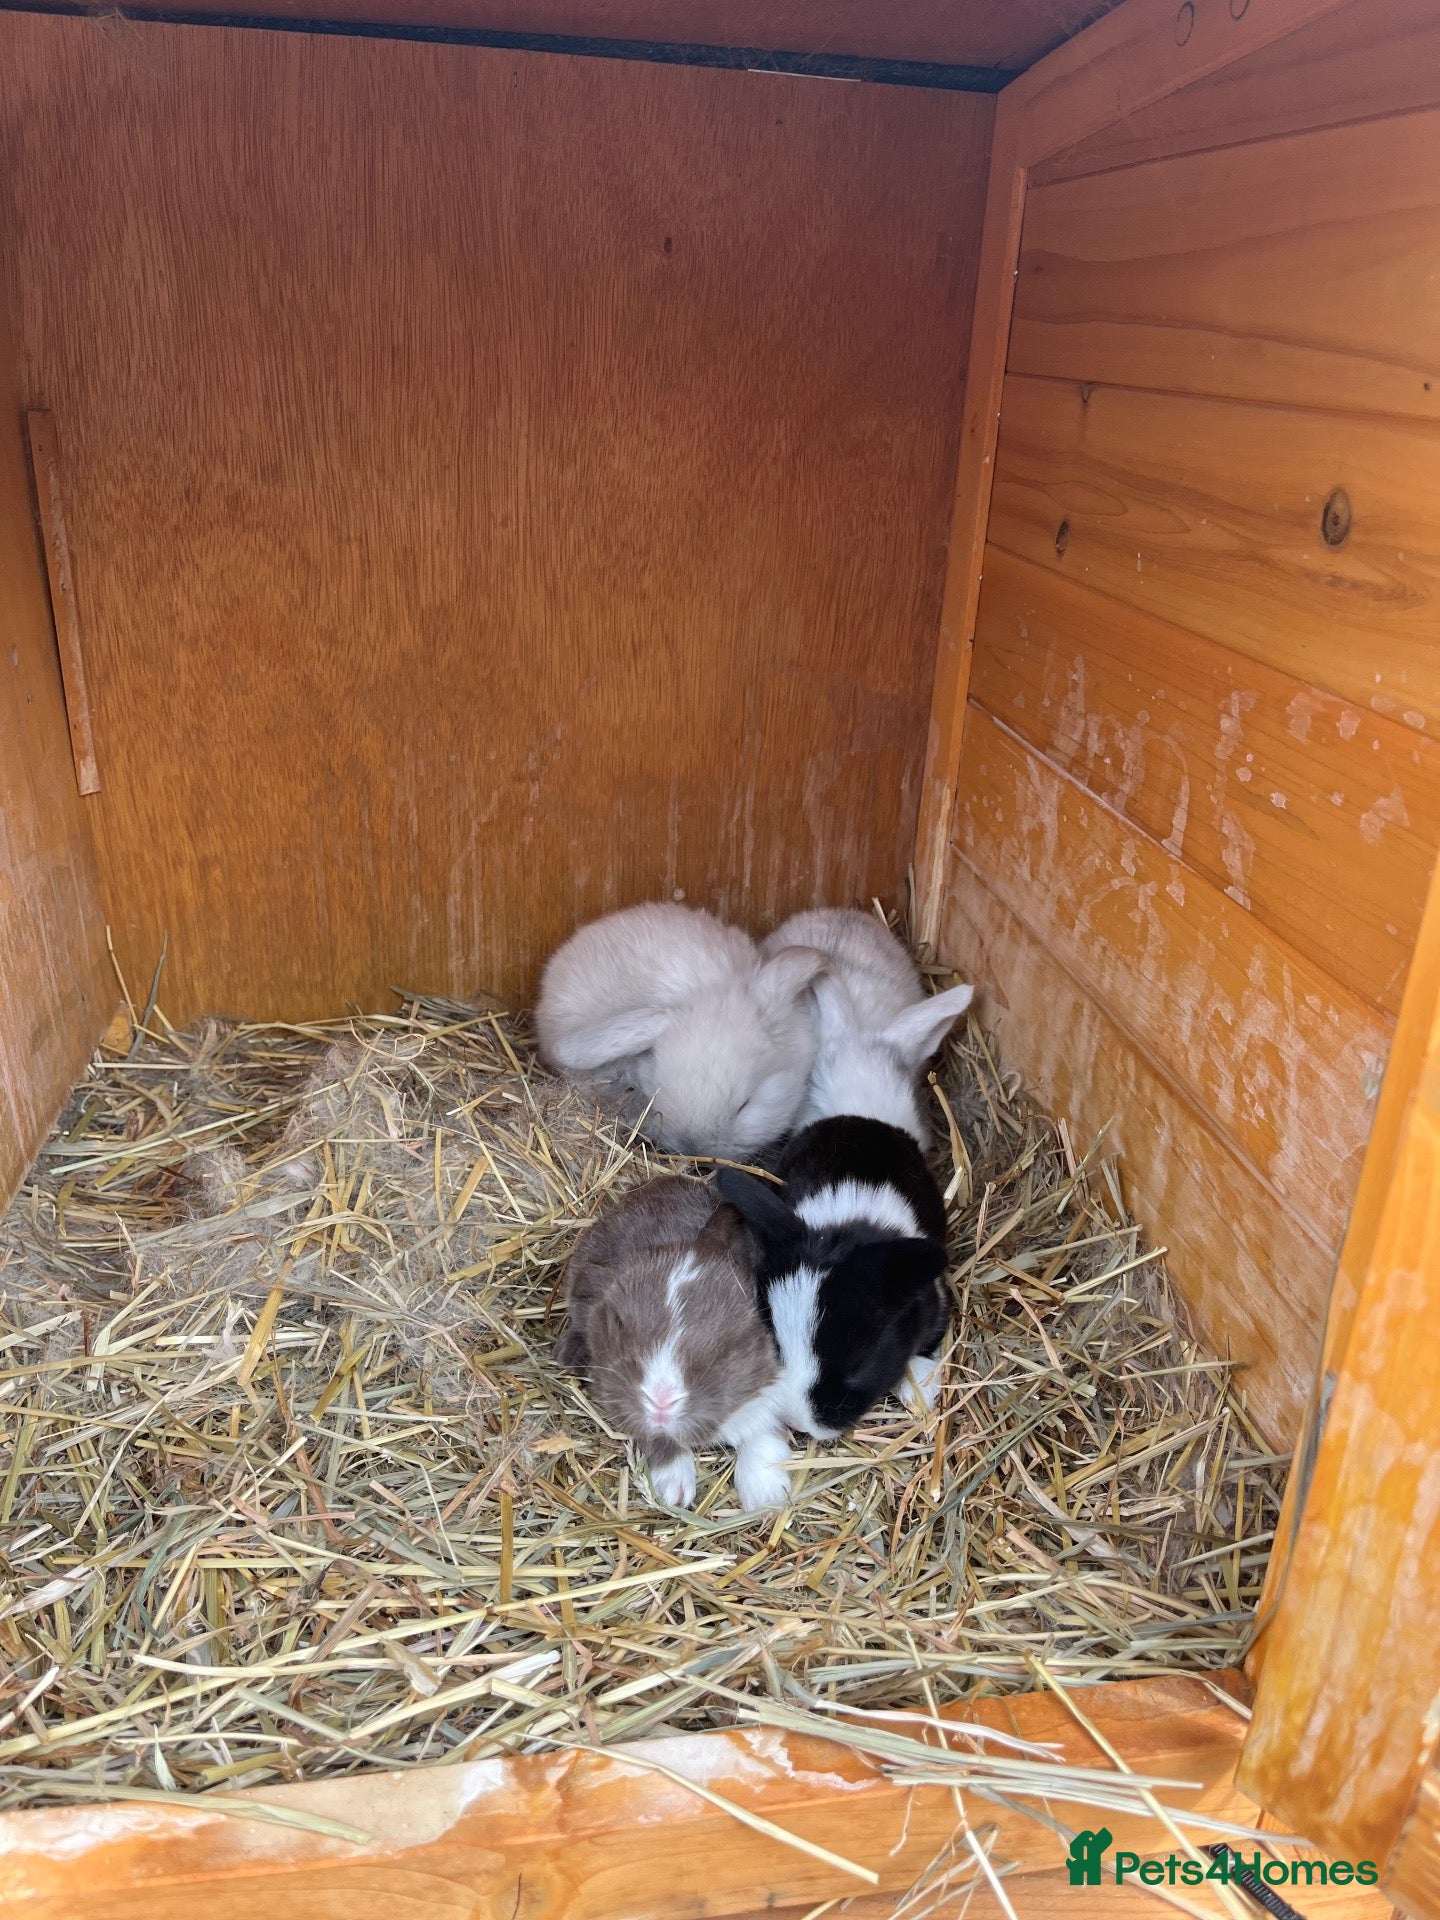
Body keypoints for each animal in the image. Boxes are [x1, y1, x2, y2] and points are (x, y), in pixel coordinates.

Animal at [556, 1174, 792, 1511]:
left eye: (731, 1341)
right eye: (619, 1322)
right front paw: (674, 1489)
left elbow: (762, 1428)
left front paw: (767, 1497)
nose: (661, 1402)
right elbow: (657, 1436)